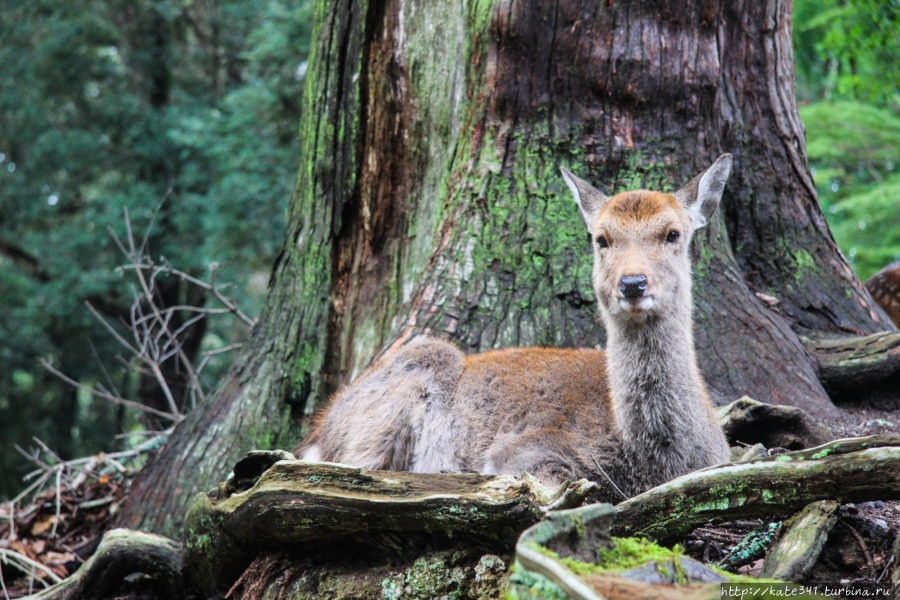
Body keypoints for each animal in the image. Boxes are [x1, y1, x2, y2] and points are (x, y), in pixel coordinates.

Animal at [298, 156, 736, 502]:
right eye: (601, 239)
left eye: (673, 233)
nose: (632, 283)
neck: (654, 458)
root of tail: (319, 427)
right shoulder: (521, 448)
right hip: (406, 382)